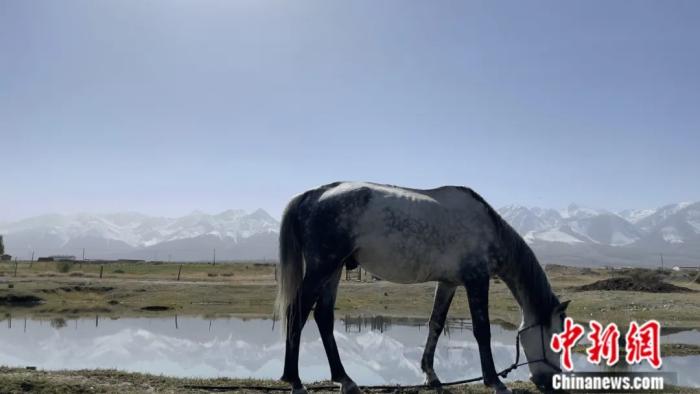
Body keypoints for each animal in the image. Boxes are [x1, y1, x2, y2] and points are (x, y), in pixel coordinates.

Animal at [274, 183, 568, 392]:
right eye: (556, 338)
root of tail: (312, 195)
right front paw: (494, 381)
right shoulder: (477, 280)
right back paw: (295, 381)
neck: (488, 227)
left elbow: (435, 324)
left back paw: (344, 379)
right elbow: (482, 330)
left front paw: (431, 376)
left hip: (333, 271)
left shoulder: (448, 283)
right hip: (322, 267)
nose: (553, 382)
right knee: (297, 312)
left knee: (323, 316)